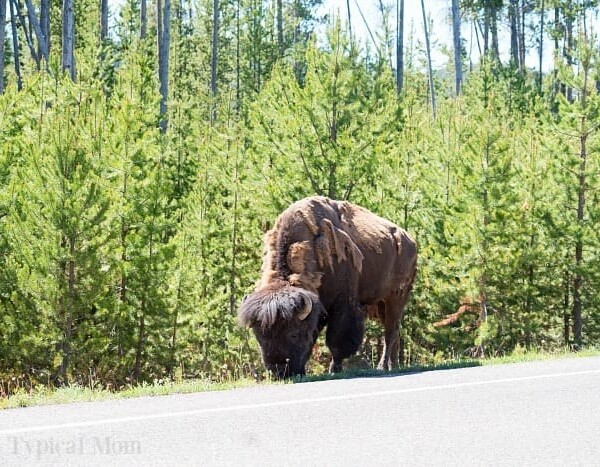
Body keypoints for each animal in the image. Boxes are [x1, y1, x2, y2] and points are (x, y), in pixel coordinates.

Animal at [239, 196, 418, 378]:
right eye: (259, 336)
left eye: (294, 333)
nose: (279, 372)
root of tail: (410, 241)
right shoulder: (319, 310)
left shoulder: (343, 305)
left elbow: (337, 340)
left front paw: (334, 370)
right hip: (381, 304)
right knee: (394, 333)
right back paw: (393, 365)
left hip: (396, 297)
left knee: (390, 331)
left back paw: (382, 367)